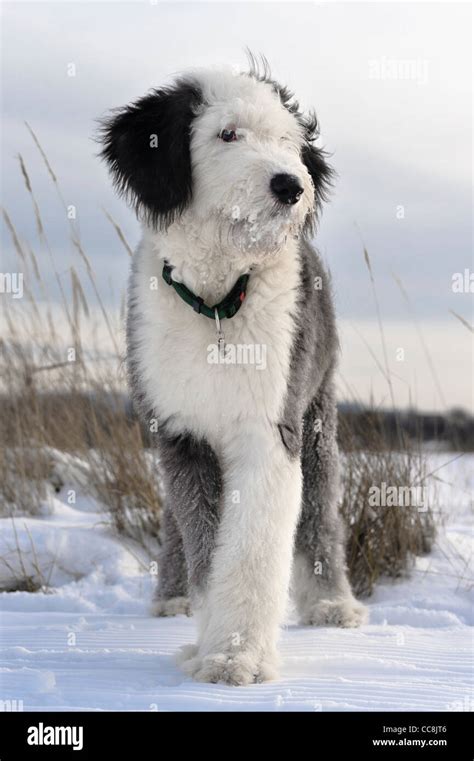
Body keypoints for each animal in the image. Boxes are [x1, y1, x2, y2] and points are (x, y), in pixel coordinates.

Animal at [99, 56, 366, 680]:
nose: (291, 185)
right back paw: (170, 597)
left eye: (288, 142)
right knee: (173, 521)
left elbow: (252, 547)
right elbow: (200, 540)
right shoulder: (179, 432)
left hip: (318, 414)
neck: (218, 299)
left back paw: (332, 604)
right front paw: (209, 634)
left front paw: (235, 656)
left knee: (319, 514)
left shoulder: (270, 427)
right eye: (227, 134)